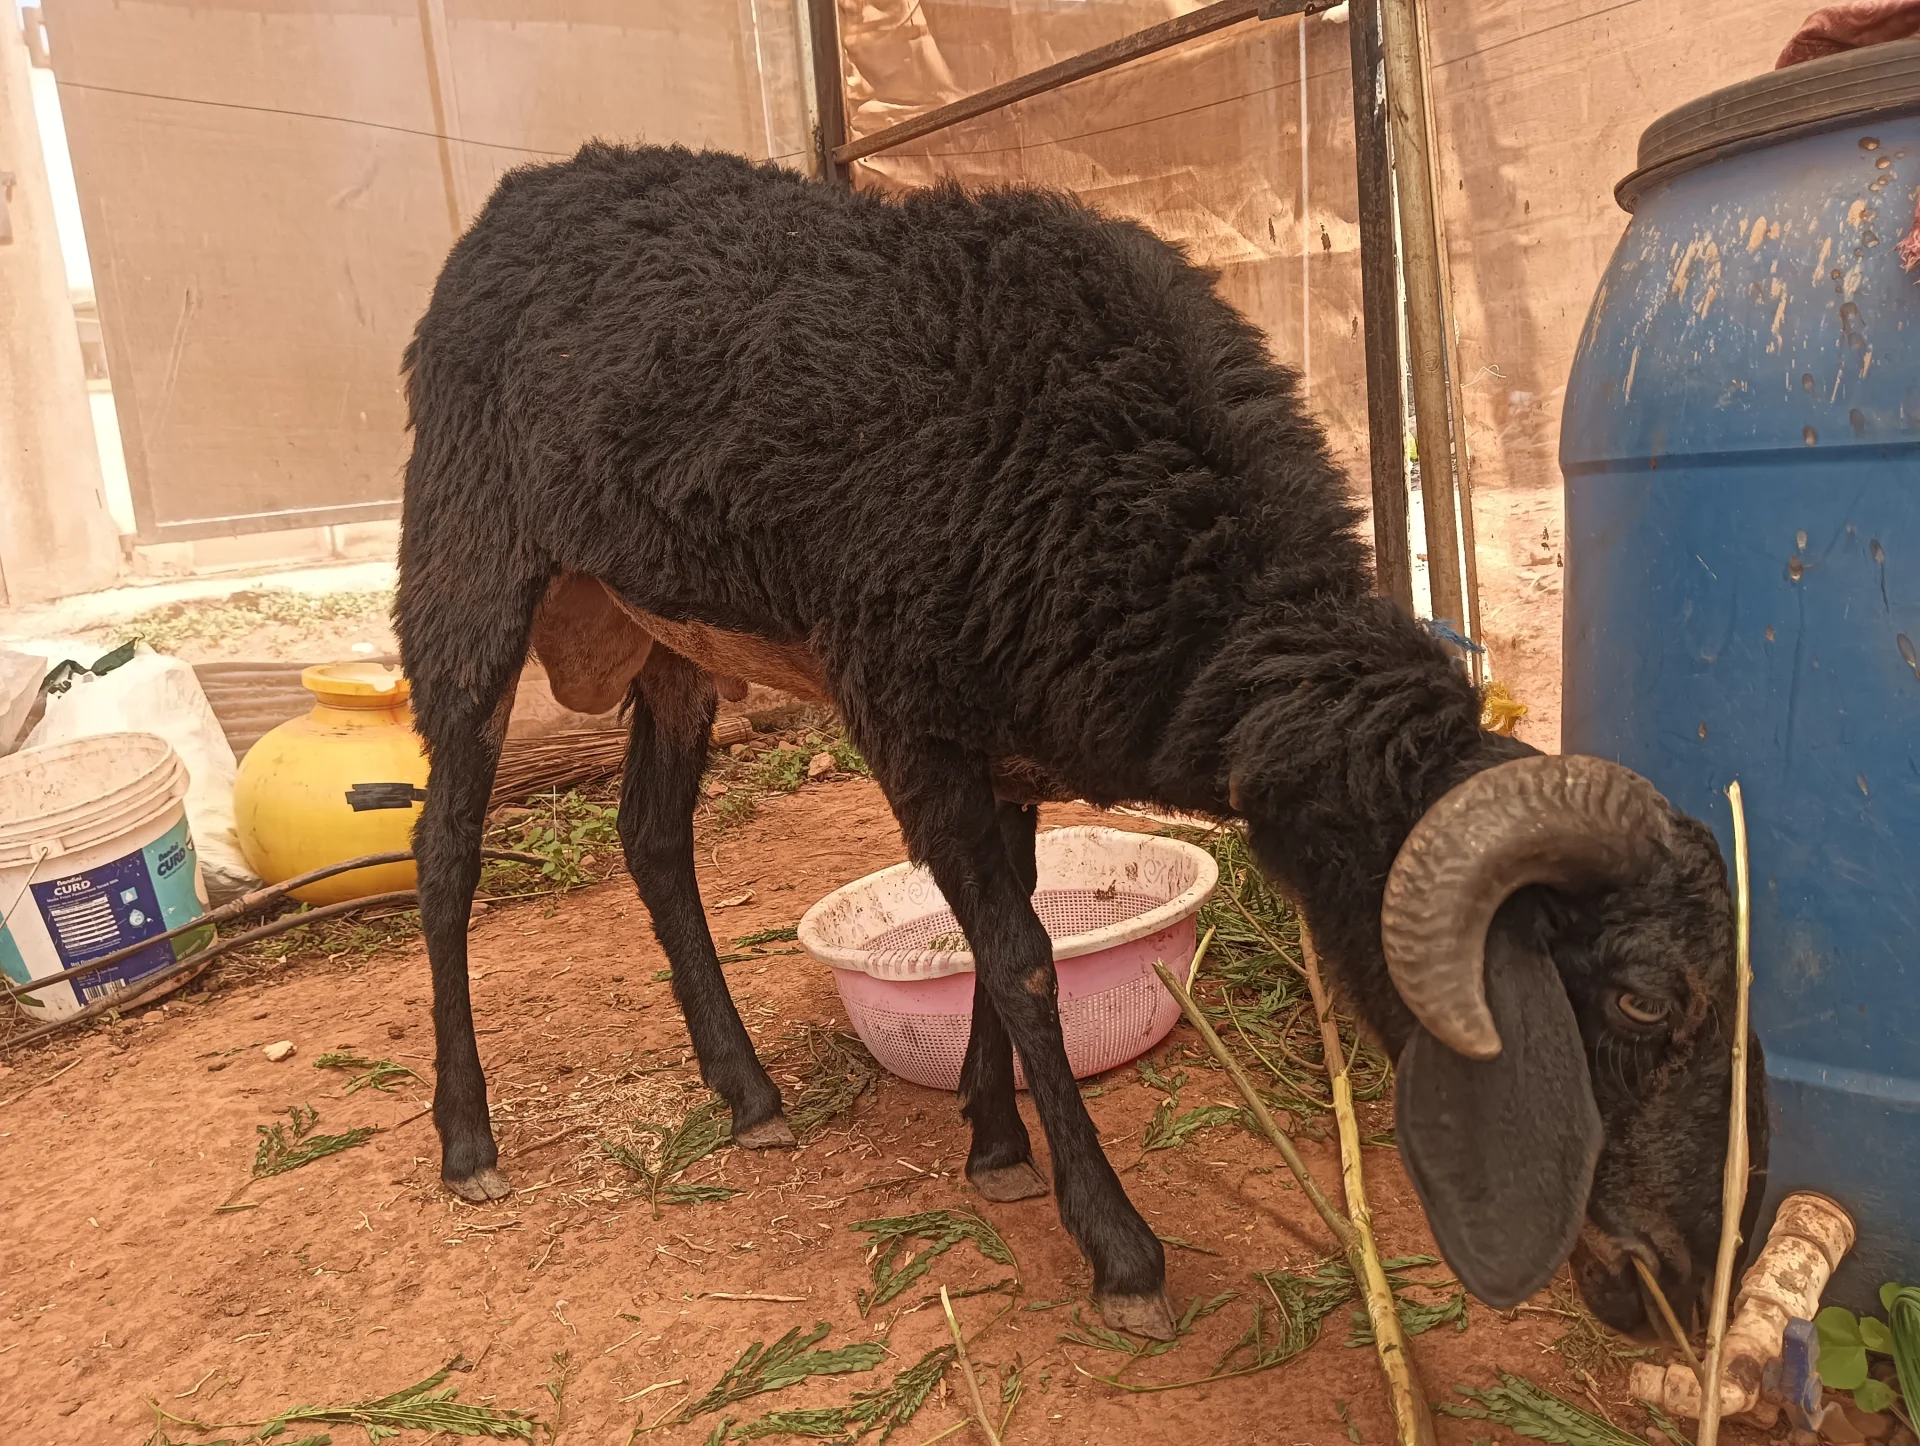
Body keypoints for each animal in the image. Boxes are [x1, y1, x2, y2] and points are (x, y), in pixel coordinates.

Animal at [395, 142, 1765, 1341]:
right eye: (1645, 1002)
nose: (1694, 1282)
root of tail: (522, 194)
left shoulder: (998, 738)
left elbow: (996, 942)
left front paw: (995, 1140)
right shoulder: (908, 716)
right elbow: (1021, 961)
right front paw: (1116, 1247)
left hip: (668, 636)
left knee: (652, 839)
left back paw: (747, 1094)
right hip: (466, 556)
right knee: (445, 845)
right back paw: (468, 1139)